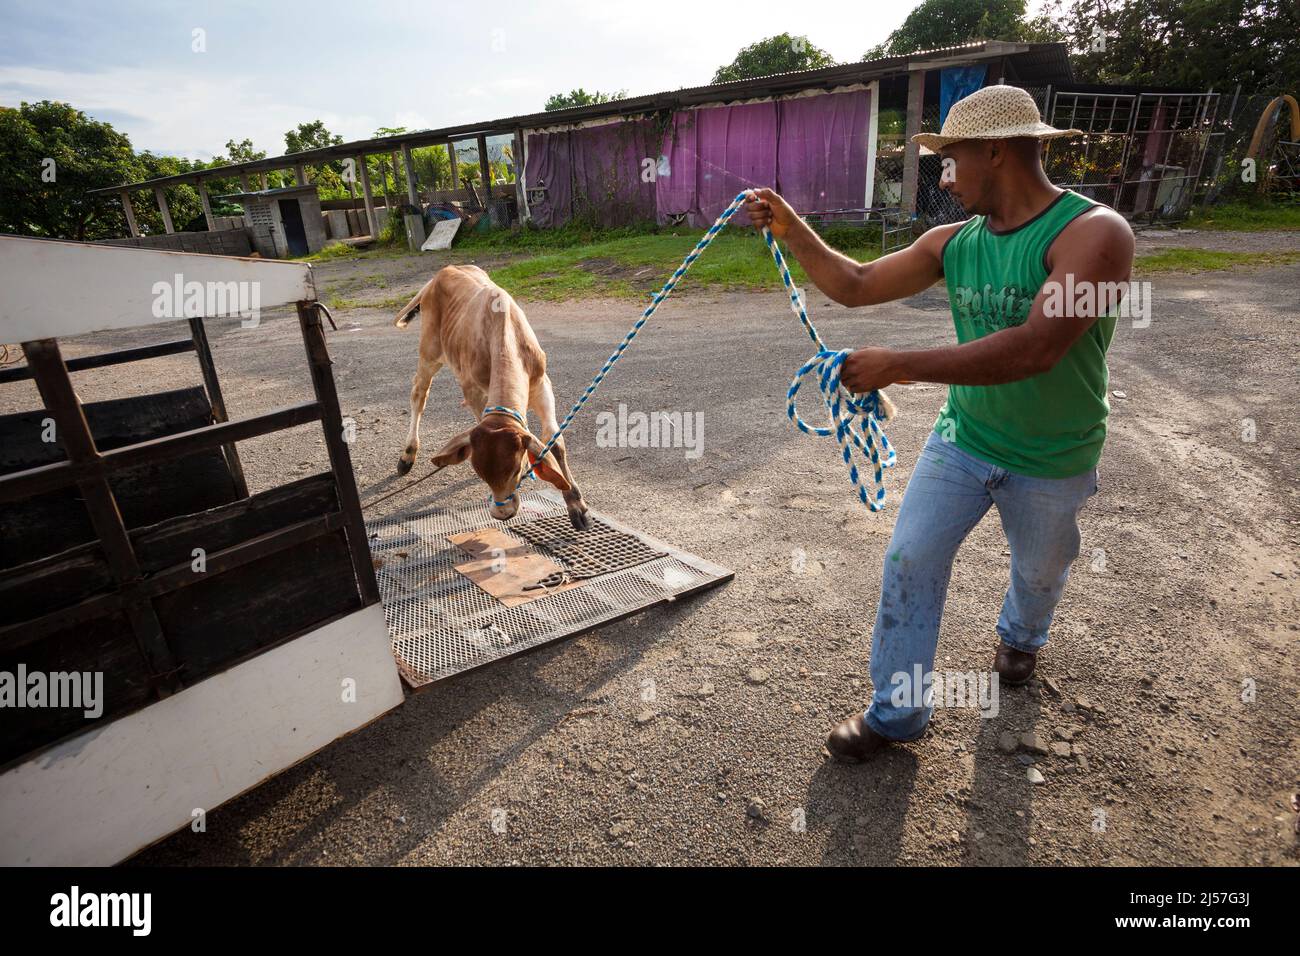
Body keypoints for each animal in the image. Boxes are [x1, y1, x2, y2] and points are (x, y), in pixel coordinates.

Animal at [392, 264, 592, 530]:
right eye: (480, 472)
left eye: (516, 470)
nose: (502, 514)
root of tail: (442, 273)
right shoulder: (474, 392)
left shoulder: (541, 384)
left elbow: (555, 442)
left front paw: (576, 504)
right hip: (429, 353)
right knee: (419, 394)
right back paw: (408, 454)